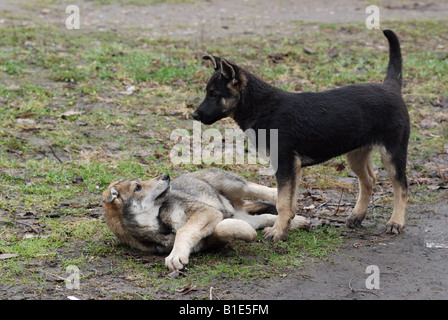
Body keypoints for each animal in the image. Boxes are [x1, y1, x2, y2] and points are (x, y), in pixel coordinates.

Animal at [101, 169, 308, 272]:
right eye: (137, 187)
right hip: (241, 212)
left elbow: (184, 230)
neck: (160, 222)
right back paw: (296, 222)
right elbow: (221, 229)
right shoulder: (209, 235)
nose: (167, 176)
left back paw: (287, 201)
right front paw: (245, 232)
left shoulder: (205, 212)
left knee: (259, 189)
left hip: (232, 184)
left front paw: (175, 256)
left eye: (140, 182)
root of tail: (235, 204)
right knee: (264, 217)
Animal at [192, 30, 410, 241]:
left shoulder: (285, 163)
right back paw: (357, 216)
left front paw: (277, 232)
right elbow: (288, 202)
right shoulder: (291, 168)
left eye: (213, 94)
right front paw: (285, 228)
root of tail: (390, 86)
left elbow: (282, 202)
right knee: (369, 180)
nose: (194, 115)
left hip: (393, 152)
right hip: (356, 153)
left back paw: (396, 222)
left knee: (401, 186)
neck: (261, 106)